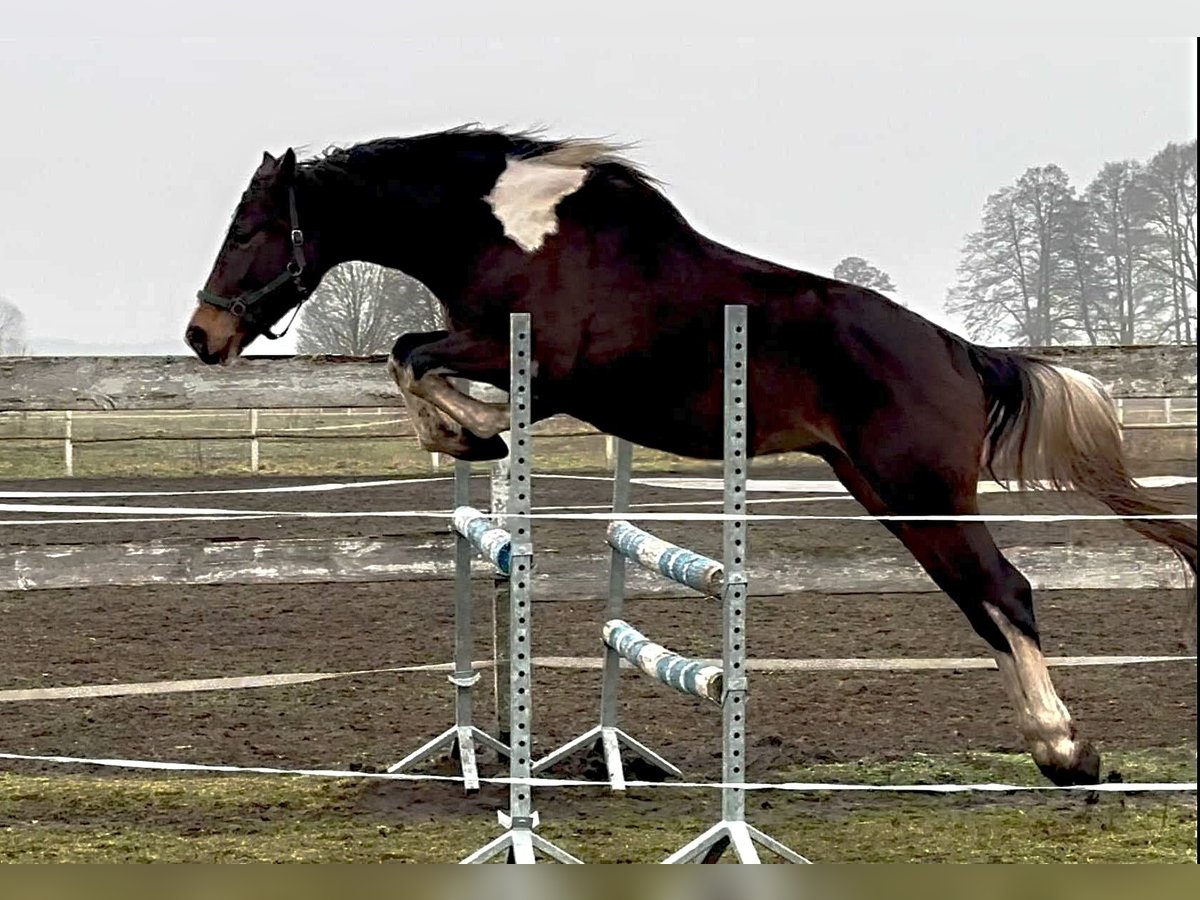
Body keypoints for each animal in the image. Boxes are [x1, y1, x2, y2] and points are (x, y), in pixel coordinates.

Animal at [184, 127, 1190, 787]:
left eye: (249, 232)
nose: (202, 336)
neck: (511, 233)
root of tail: (956, 349)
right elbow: (412, 360)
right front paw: (471, 434)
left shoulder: (536, 362)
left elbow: (409, 353)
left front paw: (469, 432)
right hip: (885, 493)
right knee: (981, 603)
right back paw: (1052, 749)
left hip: (920, 490)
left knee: (1006, 592)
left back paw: (1068, 752)